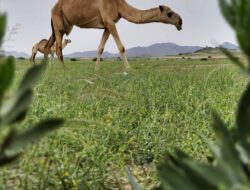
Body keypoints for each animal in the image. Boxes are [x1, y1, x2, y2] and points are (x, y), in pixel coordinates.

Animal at [44, 0, 183, 70]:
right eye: (169, 13)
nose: (180, 22)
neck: (118, 5)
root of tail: (53, 8)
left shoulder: (107, 25)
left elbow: (100, 48)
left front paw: (97, 69)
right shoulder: (109, 21)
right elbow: (121, 46)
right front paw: (129, 68)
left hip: (63, 25)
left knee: (50, 44)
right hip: (58, 22)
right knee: (58, 48)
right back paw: (64, 69)